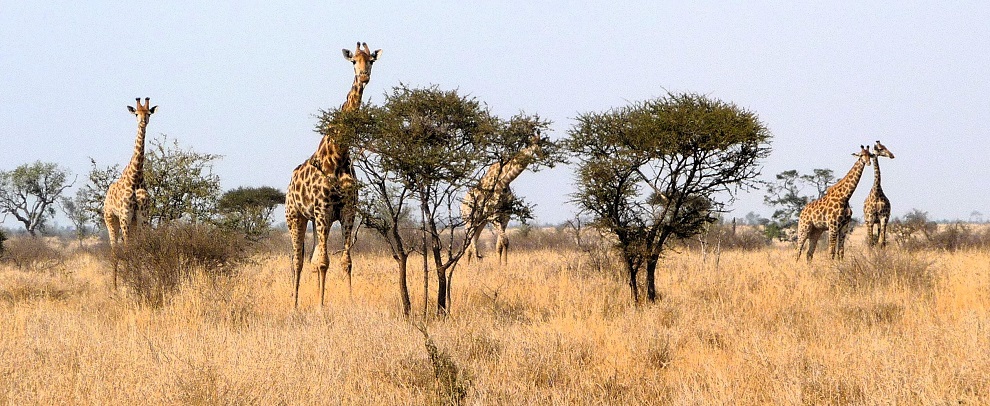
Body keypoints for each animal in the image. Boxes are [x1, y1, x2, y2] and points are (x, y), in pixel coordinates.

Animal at [104, 97, 157, 288]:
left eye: (148, 113)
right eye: (136, 113)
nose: (143, 122)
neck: (135, 179)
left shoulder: (142, 217)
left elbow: (138, 250)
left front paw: (139, 281)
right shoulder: (125, 216)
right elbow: (127, 250)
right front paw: (129, 284)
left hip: (131, 222)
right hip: (111, 219)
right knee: (114, 250)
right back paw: (114, 286)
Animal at [286, 42, 384, 308]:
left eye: (371, 60)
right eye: (353, 62)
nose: (364, 76)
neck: (338, 155)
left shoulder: (347, 209)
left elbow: (345, 261)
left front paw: (348, 302)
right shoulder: (323, 209)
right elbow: (323, 262)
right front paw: (321, 307)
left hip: (317, 220)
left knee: (310, 258)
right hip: (296, 217)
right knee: (297, 261)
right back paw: (295, 304)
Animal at [464, 128, 548, 264]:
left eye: (541, 143)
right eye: (531, 144)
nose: (541, 155)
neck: (505, 181)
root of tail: (462, 203)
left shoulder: (505, 215)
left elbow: (502, 244)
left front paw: (502, 265)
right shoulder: (493, 215)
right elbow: (504, 240)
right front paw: (501, 266)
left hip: (480, 222)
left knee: (471, 245)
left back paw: (471, 265)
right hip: (468, 220)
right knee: (471, 245)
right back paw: (474, 265)